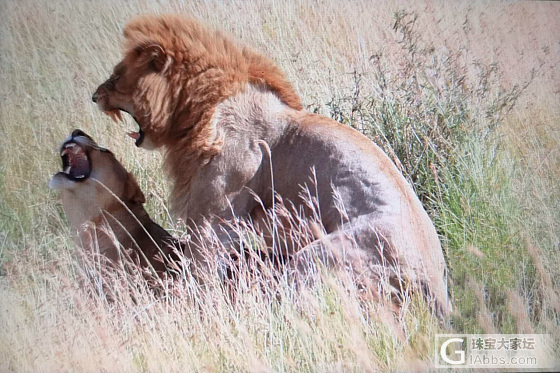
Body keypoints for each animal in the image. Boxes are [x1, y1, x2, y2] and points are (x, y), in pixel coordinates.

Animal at [92, 16, 450, 316]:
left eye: (117, 76)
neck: (198, 110)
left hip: (319, 256)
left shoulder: (215, 220)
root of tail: (438, 291)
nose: (94, 96)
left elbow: (198, 272)